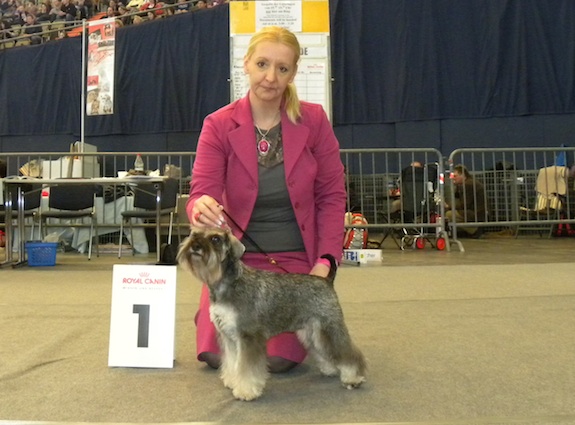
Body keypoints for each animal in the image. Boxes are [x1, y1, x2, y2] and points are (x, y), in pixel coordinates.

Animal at [177, 227, 367, 401]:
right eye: (194, 234)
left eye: (215, 239)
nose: (195, 246)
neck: (228, 283)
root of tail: (327, 280)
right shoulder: (228, 337)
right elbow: (233, 362)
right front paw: (232, 381)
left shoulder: (249, 337)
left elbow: (246, 367)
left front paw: (245, 390)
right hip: (311, 332)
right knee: (323, 350)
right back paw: (330, 368)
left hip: (329, 326)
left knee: (347, 352)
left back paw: (353, 377)